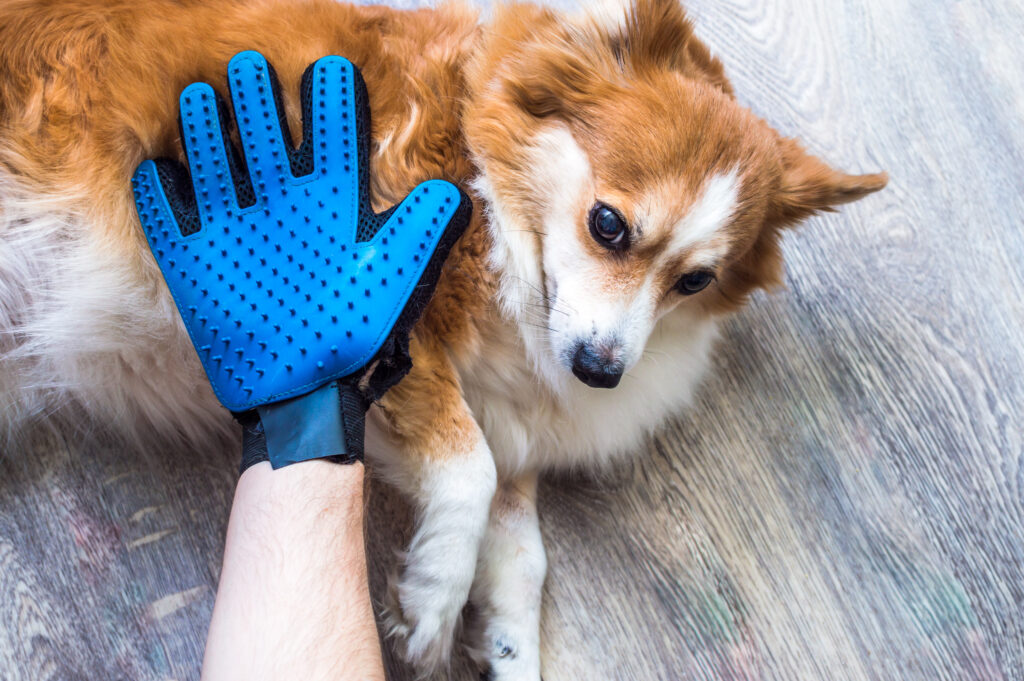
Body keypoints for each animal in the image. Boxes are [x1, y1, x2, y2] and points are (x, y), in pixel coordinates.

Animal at [0, 1, 884, 675]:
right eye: (608, 225)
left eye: (697, 281)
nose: (600, 371)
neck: (488, 186)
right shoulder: (408, 341)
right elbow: (469, 469)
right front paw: (432, 599)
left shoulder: (501, 423)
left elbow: (522, 553)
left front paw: (506, 647)